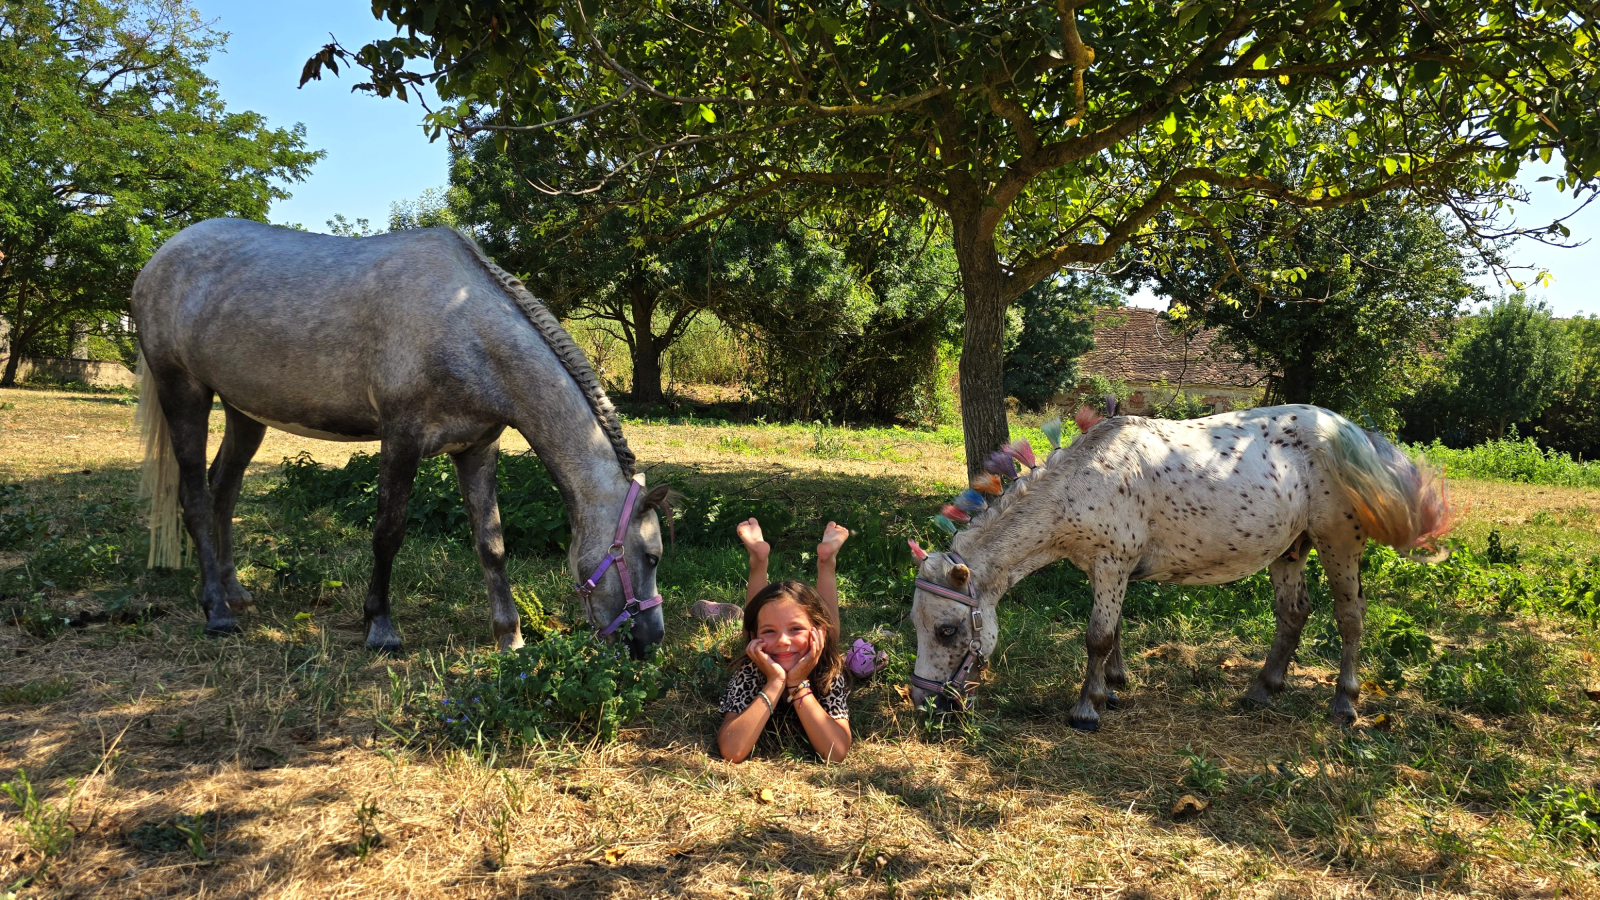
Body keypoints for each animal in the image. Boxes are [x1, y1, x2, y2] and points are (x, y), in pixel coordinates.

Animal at [131, 218, 669, 657]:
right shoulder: (401, 439)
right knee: (196, 498)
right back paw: (217, 611)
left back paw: (235, 592)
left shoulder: (477, 448)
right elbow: (388, 533)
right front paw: (381, 628)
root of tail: (159, 260)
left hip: (244, 411)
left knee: (224, 491)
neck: (463, 323)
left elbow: (491, 542)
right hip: (183, 392)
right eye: (651, 556)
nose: (650, 642)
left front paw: (509, 636)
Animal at [906, 405, 1453, 729]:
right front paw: (1113, 688)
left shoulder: (1111, 564)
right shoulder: (1110, 571)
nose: (923, 700)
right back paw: (1262, 690)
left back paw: (1344, 701)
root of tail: (1347, 429)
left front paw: (1087, 708)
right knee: (1293, 614)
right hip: (1289, 550)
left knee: (1350, 617)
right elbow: (1114, 631)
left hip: (1338, 544)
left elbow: (1097, 637)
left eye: (949, 630)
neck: (1082, 481)